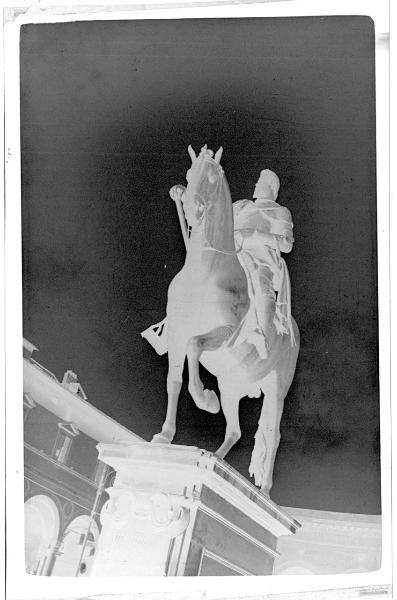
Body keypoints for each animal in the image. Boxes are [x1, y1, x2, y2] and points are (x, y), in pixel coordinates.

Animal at [144, 146, 298, 496]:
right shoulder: (178, 333)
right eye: (189, 174)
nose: (190, 205)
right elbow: (174, 380)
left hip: (277, 388)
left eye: (213, 177)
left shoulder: (223, 334)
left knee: (272, 434)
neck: (206, 270)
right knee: (236, 431)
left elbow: (194, 347)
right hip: (232, 382)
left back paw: (264, 492)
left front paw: (205, 400)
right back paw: (217, 460)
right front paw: (164, 436)